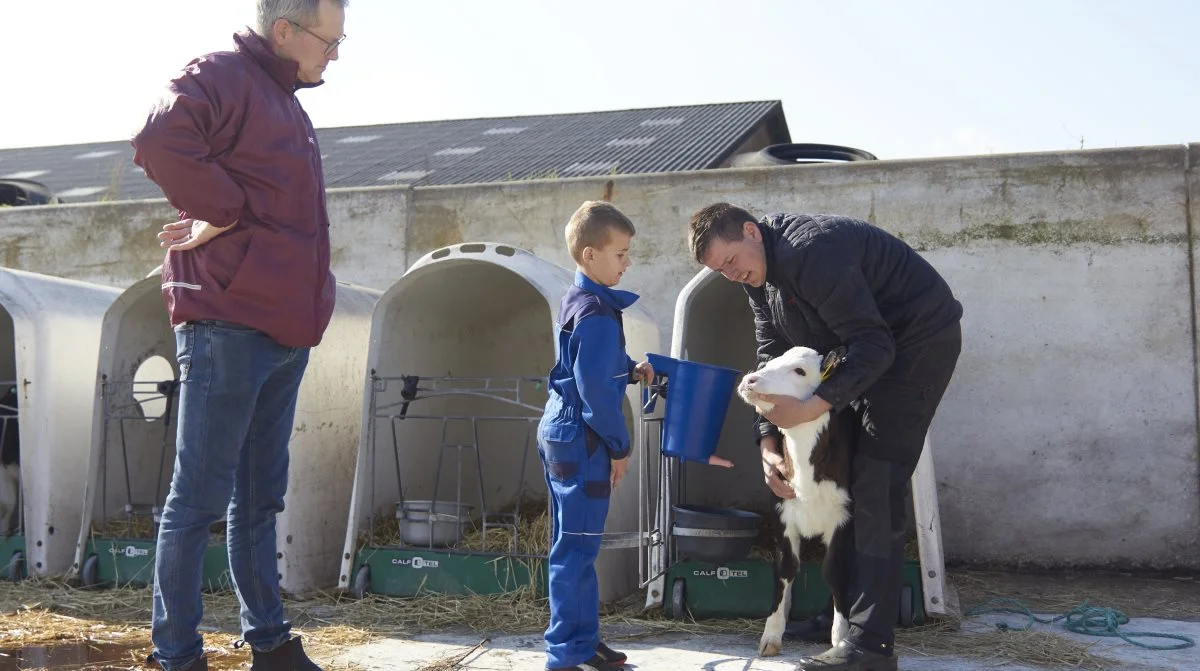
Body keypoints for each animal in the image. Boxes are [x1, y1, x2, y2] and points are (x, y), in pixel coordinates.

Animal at [734, 348, 859, 657]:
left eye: (800, 371)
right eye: (774, 359)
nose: (750, 380)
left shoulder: (844, 517)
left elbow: (833, 571)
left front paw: (840, 635)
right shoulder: (782, 513)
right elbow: (785, 569)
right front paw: (771, 634)